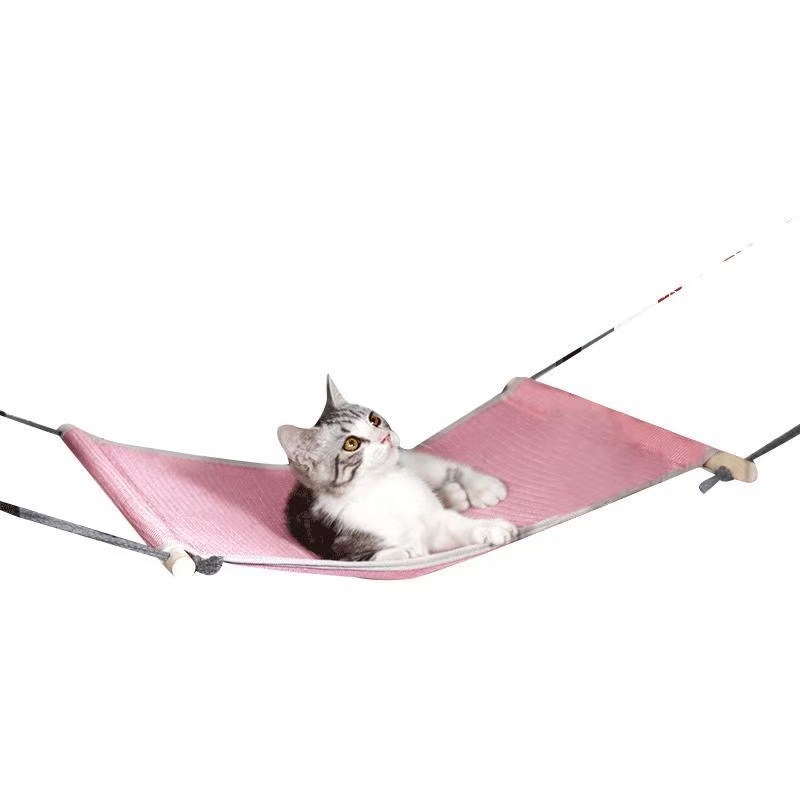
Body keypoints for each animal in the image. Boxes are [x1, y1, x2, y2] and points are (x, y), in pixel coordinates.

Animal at [277, 376, 518, 562]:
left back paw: (481, 487)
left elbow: (455, 525)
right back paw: (452, 495)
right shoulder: (339, 547)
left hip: (410, 460)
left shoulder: (433, 518)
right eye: (351, 443)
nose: (384, 436)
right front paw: (410, 551)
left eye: (374, 419)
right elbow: (386, 555)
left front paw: (490, 528)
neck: (380, 485)